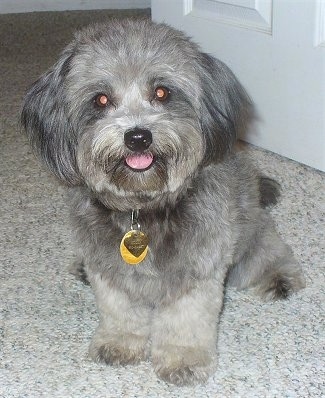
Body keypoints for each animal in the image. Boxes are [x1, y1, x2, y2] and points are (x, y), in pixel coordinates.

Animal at [21, 17, 306, 386]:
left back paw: (280, 278)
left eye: (161, 92)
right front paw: (120, 342)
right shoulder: (109, 271)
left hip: (250, 246)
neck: (144, 208)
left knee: (272, 254)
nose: (138, 137)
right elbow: (120, 311)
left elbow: (186, 320)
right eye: (101, 99)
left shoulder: (197, 271)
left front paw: (183, 359)